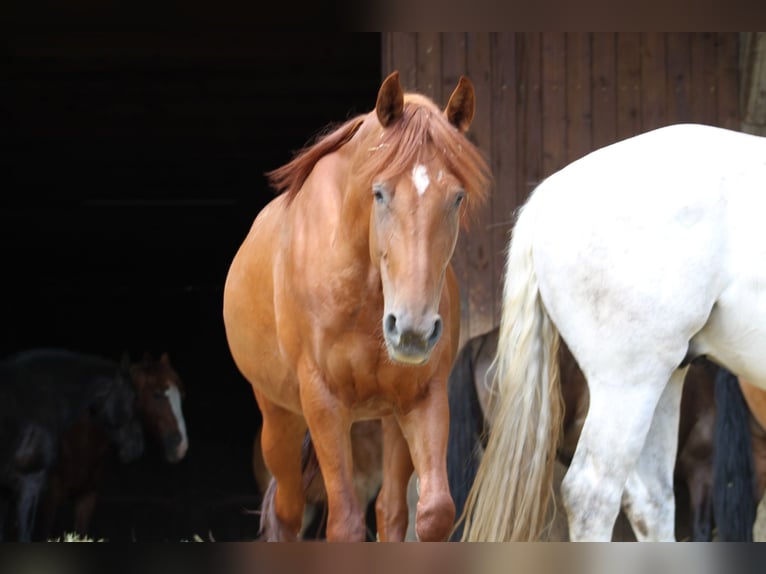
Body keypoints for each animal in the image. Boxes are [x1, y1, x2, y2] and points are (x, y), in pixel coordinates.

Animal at [35, 354, 192, 544]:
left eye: (182, 395)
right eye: (157, 395)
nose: (181, 446)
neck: (79, 439)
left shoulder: (87, 498)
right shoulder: (49, 501)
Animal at [225, 70, 492, 544]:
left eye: (457, 197)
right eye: (380, 193)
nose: (412, 331)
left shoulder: (423, 397)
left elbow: (432, 514)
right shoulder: (323, 402)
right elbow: (346, 523)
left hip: (389, 417)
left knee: (390, 511)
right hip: (280, 418)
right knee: (287, 512)